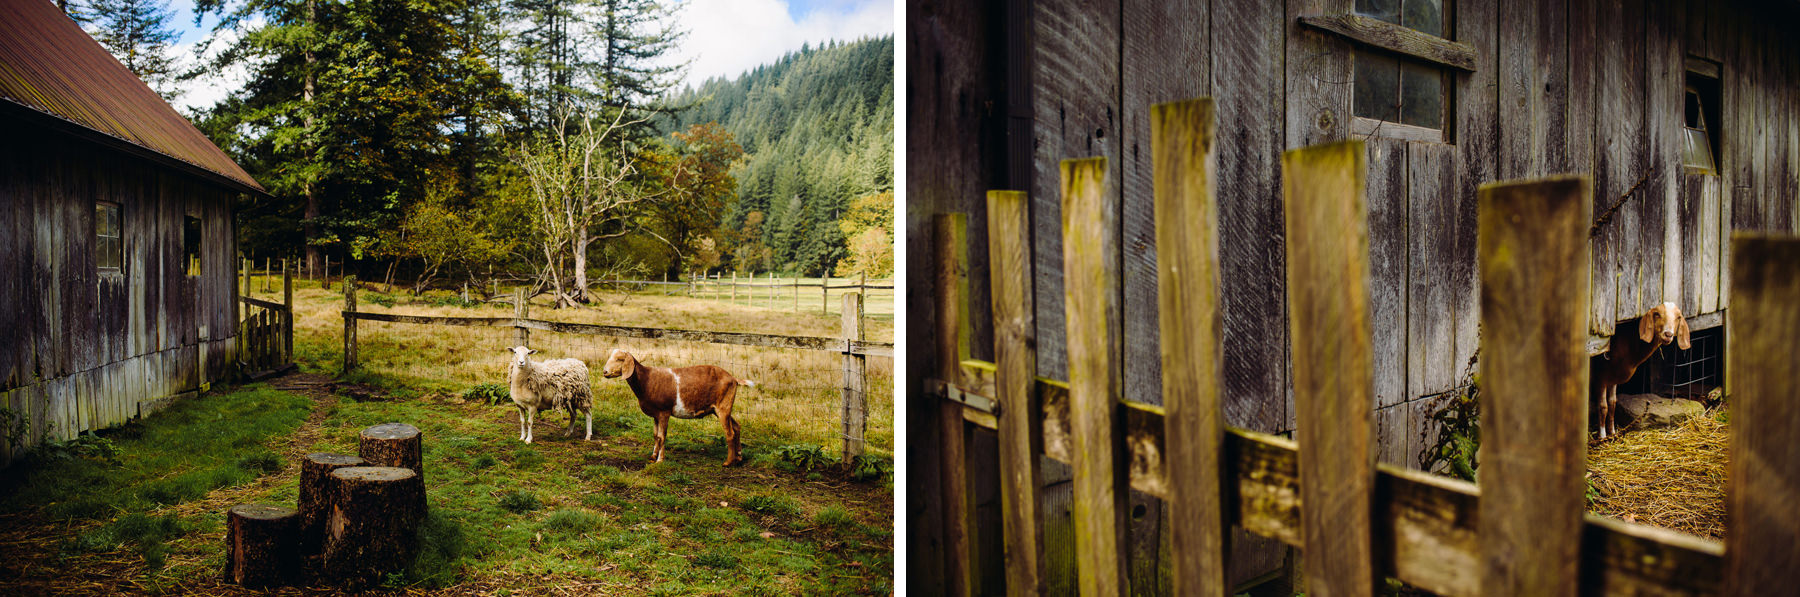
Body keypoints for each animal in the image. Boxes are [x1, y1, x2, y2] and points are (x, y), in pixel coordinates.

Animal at [597, 350, 752, 467]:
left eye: (620, 359)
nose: (605, 372)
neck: (647, 380)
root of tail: (733, 379)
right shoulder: (656, 415)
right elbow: (655, 435)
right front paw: (653, 456)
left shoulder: (664, 412)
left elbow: (662, 436)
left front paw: (660, 460)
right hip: (719, 408)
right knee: (737, 427)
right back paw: (739, 458)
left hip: (723, 406)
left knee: (730, 433)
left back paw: (728, 462)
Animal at [1591, 303, 1684, 438]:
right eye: (1657, 314)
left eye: (1678, 317)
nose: (1668, 334)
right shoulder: (1601, 378)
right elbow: (1603, 406)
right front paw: (1602, 436)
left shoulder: (1613, 378)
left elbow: (1612, 403)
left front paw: (1612, 432)